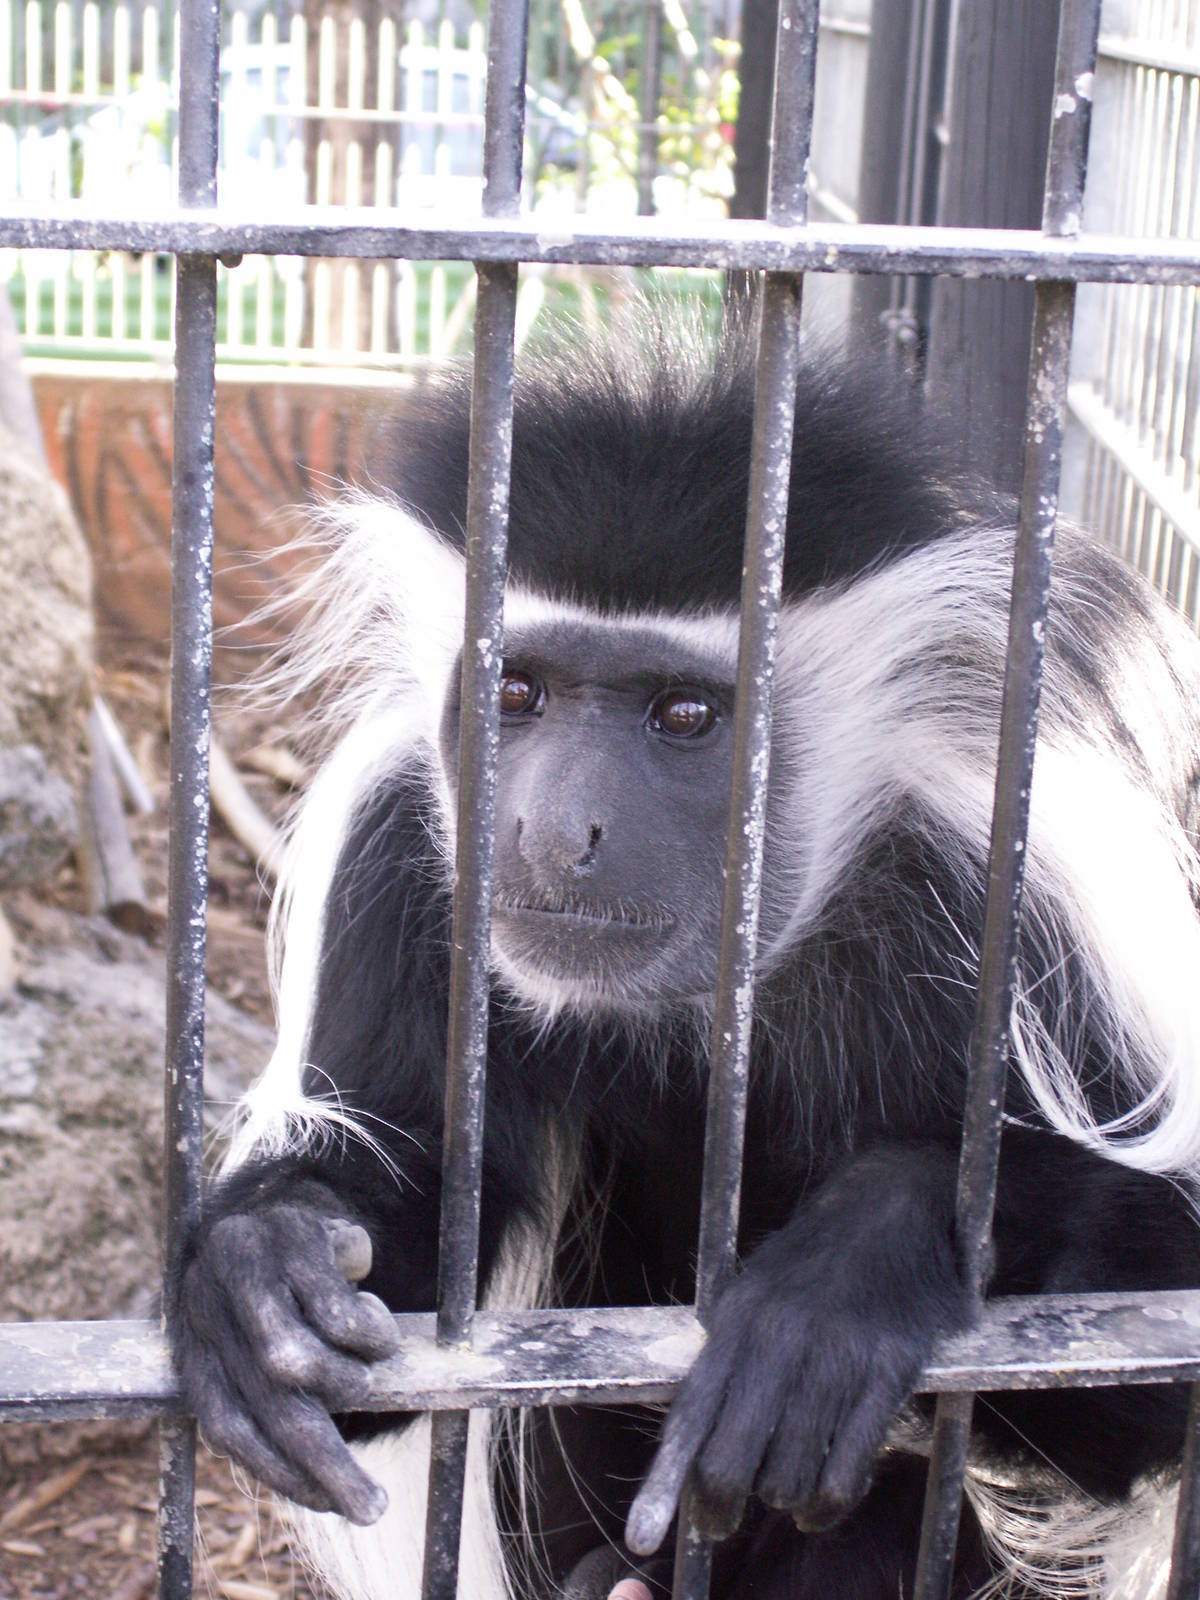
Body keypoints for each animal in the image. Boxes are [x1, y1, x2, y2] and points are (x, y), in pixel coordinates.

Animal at [175, 315, 1200, 1600]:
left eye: (684, 716)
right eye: (519, 691)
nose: (553, 834)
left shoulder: (1038, 907)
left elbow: (1147, 1365)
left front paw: (849, 1279)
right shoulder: (401, 852)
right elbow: (389, 1263)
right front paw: (268, 1268)